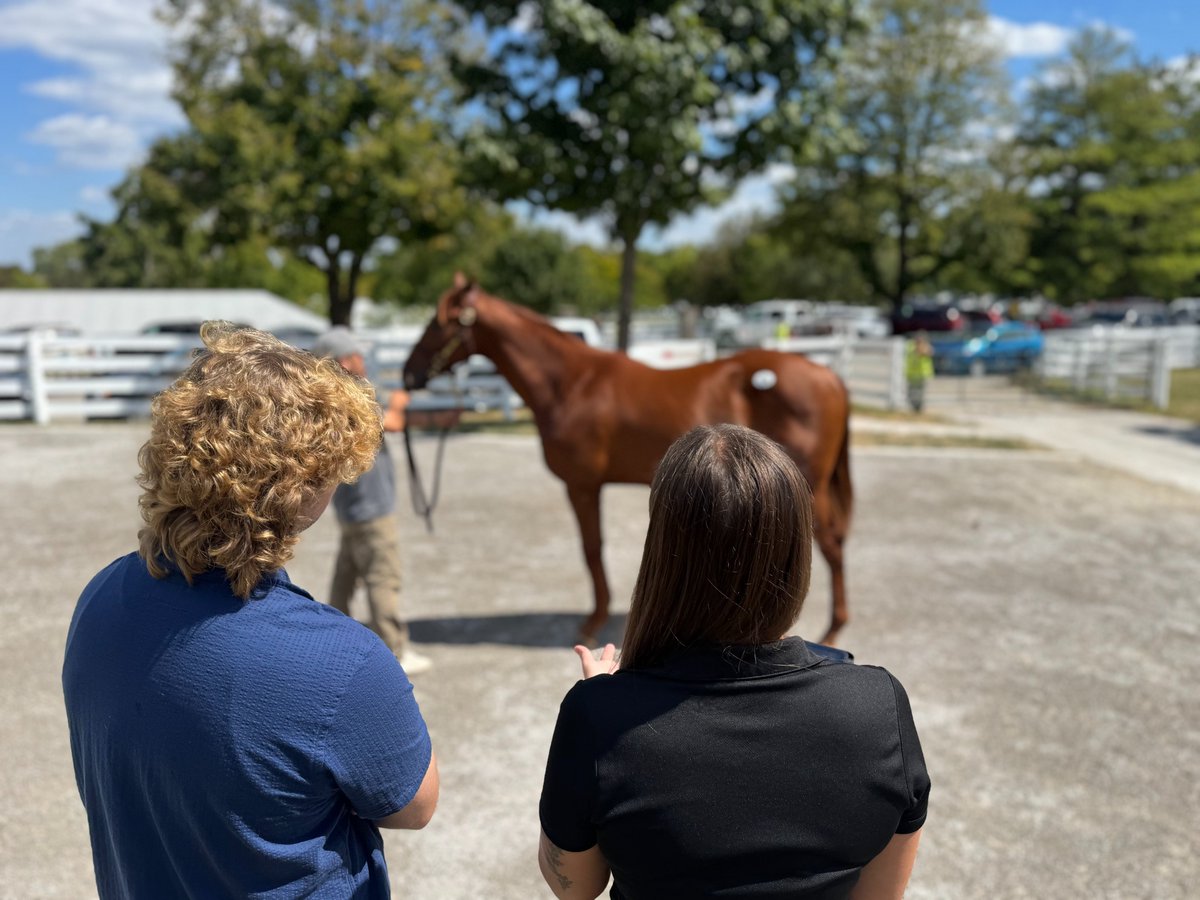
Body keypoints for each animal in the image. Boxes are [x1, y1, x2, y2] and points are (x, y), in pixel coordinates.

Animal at [403, 274, 854, 646]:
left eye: (439, 323)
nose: (409, 374)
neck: (572, 384)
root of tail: (828, 375)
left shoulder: (582, 485)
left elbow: (591, 549)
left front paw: (593, 621)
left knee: (832, 546)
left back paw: (834, 630)